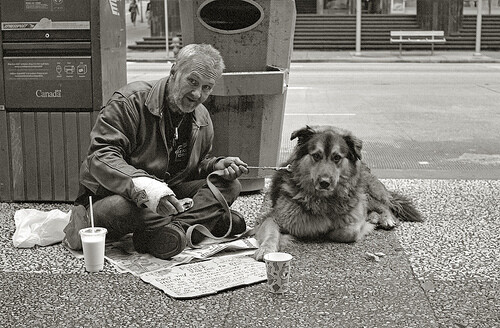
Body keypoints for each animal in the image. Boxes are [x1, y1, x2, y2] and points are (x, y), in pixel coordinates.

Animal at [254, 125, 422, 262]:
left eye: (337, 157)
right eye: (316, 156)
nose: (324, 182)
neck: (322, 200)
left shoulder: (353, 220)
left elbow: (348, 232)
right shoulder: (273, 217)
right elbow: (271, 233)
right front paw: (266, 249)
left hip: (365, 191)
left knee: (384, 205)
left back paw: (386, 218)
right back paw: (374, 217)